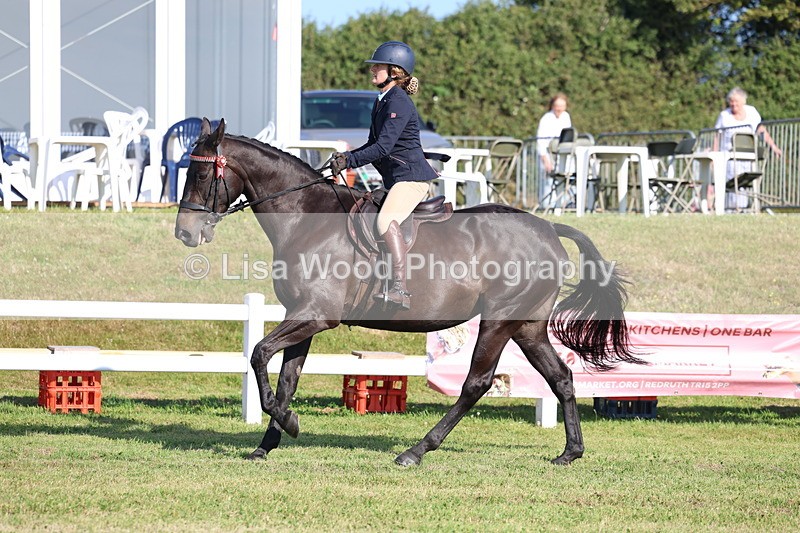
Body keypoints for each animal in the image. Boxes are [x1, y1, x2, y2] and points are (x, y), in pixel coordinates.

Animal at [174, 118, 643, 466]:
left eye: (201, 172)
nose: (185, 233)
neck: (307, 218)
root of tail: (548, 227)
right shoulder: (301, 316)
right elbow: (286, 377)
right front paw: (272, 438)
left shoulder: (316, 315)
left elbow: (258, 354)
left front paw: (287, 423)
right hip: (526, 325)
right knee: (560, 377)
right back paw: (570, 452)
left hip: (499, 320)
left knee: (476, 383)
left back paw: (416, 451)